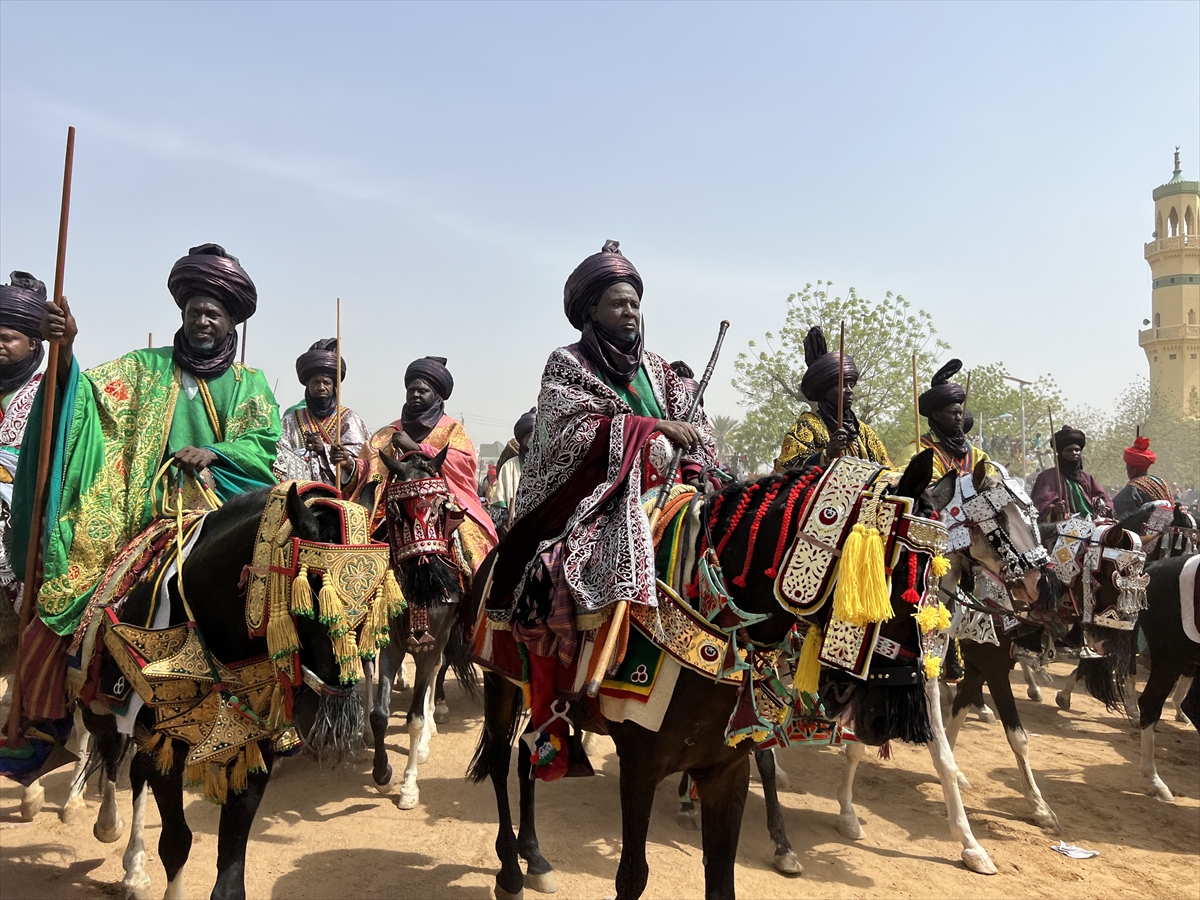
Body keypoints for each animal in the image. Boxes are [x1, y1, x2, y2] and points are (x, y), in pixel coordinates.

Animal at [81, 487, 384, 900]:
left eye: (373, 595)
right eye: (311, 587)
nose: (335, 703)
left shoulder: (254, 744)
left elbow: (230, 869)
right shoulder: (166, 743)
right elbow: (175, 842)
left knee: (134, 768)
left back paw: (133, 868)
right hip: (102, 709)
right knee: (113, 755)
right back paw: (109, 828)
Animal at [364, 451, 477, 811]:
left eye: (442, 504)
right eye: (396, 509)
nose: (425, 565)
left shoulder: (431, 643)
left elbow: (413, 718)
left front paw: (409, 787)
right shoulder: (390, 645)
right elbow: (380, 715)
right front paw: (382, 775)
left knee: (434, 675)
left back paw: (430, 730)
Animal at [468, 451, 993, 900]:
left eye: (933, 580)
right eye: (893, 576)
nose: (893, 718)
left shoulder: (727, 771)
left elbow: (722, 878)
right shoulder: (639, 766)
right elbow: (632, 876)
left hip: (540, 697)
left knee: (527, 757)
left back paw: (536, 857)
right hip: (500, 683)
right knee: (498, 760)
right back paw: (511, 872)